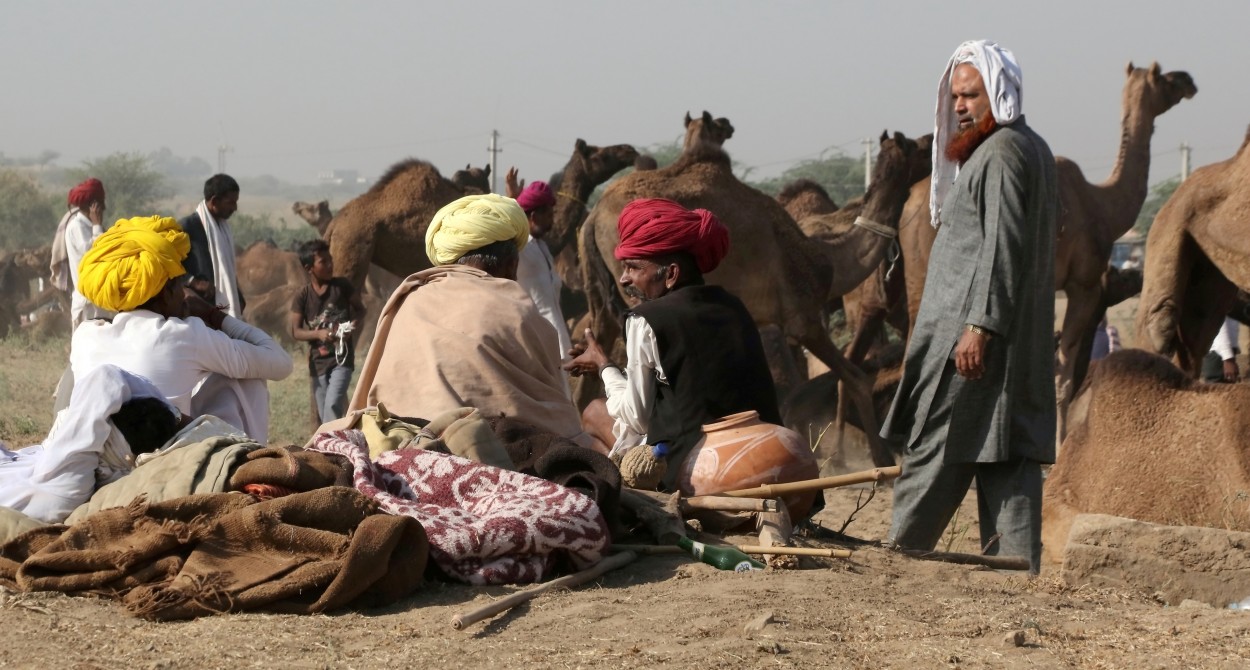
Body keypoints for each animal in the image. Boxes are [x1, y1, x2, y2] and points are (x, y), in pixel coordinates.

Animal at [575, 111, 920, 465]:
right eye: (919, 147)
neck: (831, 259)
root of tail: (592, 218)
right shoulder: (802, 317)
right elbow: (856, 378)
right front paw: (881, 459)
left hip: (600, 293)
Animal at [900, 62, 1190, 440]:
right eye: (1165, 79)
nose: (1188, 81)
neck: (1104, 206)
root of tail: (911, 207)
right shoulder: (1083, 285)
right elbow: (1062, 374)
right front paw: (1059, 443)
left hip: (914, 277)